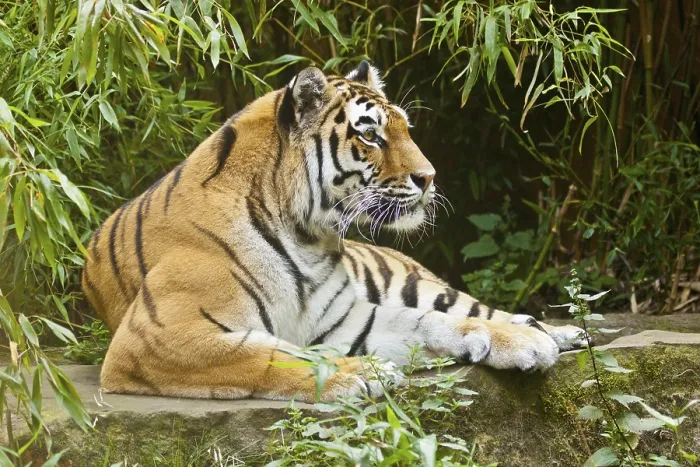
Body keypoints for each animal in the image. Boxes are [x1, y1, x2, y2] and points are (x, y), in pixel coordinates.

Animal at [82, 61, 586, 402]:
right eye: (371, 135)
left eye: (405, 129)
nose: (430, 177)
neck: (303, 235)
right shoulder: (161, 336)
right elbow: (270, 353)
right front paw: (357, 373)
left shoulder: (344, 317)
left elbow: (427, 321)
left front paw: (518, 342)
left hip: (417, 283)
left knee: (475, 308)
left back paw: (556, 332)